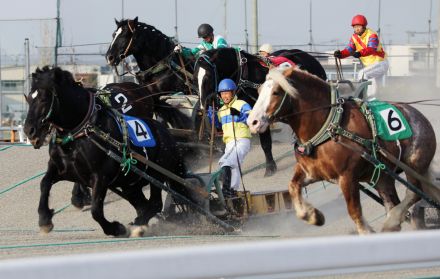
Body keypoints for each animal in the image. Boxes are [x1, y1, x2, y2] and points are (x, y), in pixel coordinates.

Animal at [24, 66, 188, 237]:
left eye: (44, 99)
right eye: (29, 98)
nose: (29, 131)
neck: (82, 131)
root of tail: (167, 134)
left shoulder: (100, 176)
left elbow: (96, 210)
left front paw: (115, 228)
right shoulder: (61, 169)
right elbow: (44, 183)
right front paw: (45, 219)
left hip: (156, 173)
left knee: (155, 203)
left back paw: (137, 225)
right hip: (130, 182)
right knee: (143, 204)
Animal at [196, 47, 326, 176]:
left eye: (207, 76)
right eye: (195, 79)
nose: (203, 104)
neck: (245, 76)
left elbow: (265, 142)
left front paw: (270, 167)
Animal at [248, 68, 436, 234]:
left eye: (276, 92)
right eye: (259, 91)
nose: (253, 122)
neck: (329, 126)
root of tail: (419, 116)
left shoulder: (347, 178)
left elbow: (355, 212)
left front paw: (366, 230)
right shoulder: (311, 172)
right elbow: (293, 186)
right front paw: (313, 216)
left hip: (413, 165)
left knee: (413, 193)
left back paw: (393, 221)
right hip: (383, 177)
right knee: (393, 202)